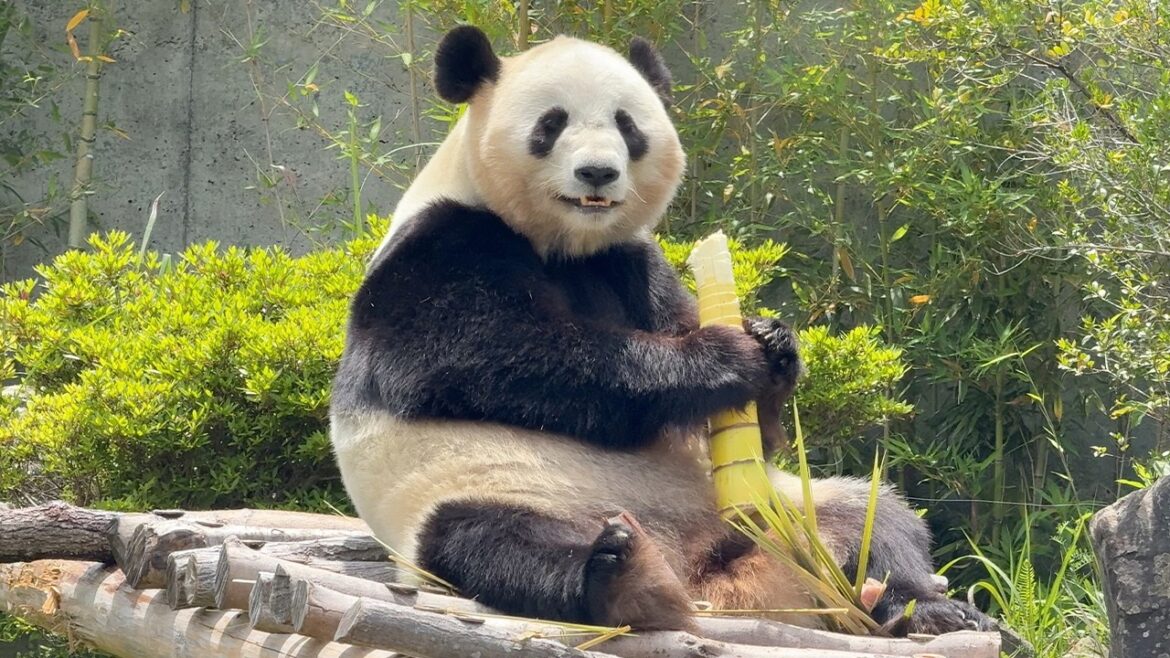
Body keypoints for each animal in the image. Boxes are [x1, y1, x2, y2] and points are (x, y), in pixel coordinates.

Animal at [330, 25, 995, 635]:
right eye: (551, 124)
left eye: (627, 125)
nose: (597, 173)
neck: (566, 245)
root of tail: (704, 573)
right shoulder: (438, 247)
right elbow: (477, 357)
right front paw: (725, 357)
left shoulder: (631, 260)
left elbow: (743, 423)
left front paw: (772, 344)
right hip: (481, 495)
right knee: (499, 544)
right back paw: (622, 578)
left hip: (780, 507)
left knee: (874, 518)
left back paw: (929, 610)